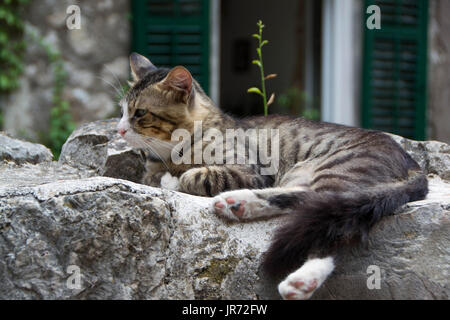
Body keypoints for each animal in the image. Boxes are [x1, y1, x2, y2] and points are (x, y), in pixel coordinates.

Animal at [118, 53, 428, 300]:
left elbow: (190, 177)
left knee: (329, 220)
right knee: (306, 204)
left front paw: (175, 177)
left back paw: (301, 280)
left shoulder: (248, 171)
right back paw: (238, 204)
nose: (119, 130)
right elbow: (156, 177)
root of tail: (412, 162)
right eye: (122, 111)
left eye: (140, 113)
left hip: (337, 172)